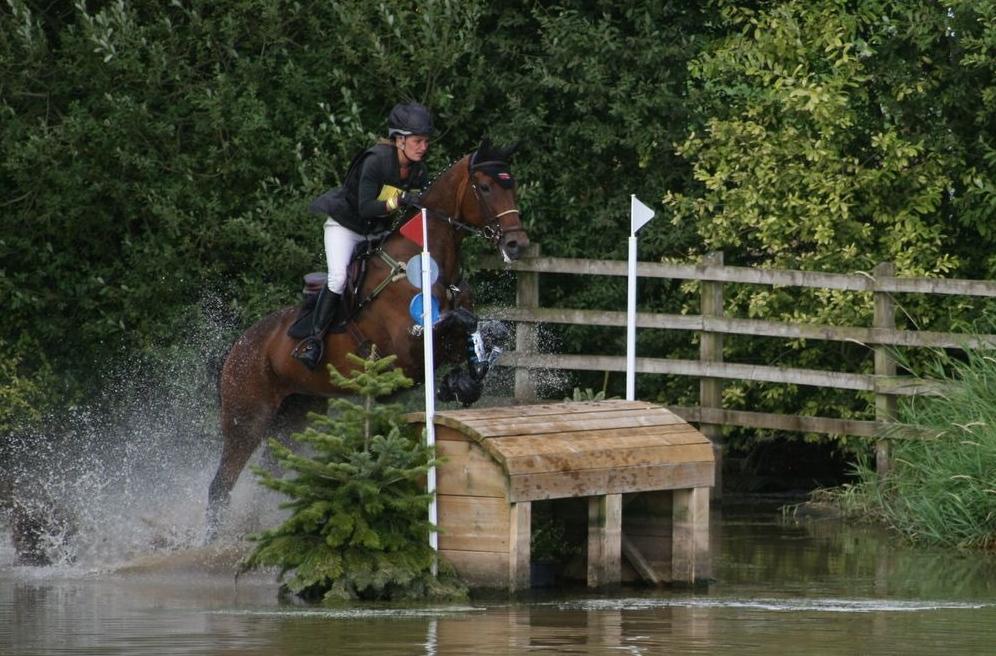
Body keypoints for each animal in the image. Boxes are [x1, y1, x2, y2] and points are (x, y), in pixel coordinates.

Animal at [204, 138, 528, 540]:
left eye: (512, 184)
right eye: (484, 187)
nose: (517, 244)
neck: (426, 262)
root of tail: (236, 348)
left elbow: (478, 329)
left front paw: (462, 383)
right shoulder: (405, 349)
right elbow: (460, 321)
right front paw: (458, 381)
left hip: (295, 415)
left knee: (274, 472)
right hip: (246, 420)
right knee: (220, 486)